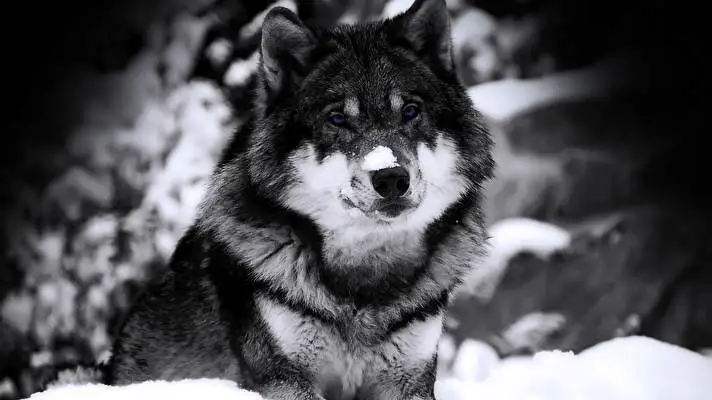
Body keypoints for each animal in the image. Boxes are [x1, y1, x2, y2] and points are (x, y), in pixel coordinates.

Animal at [103, 0, 494, 399]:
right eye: (337, 119)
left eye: (411, 111)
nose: (391, 177)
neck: (364, 280)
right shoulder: (284, 378)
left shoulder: (409, 380)